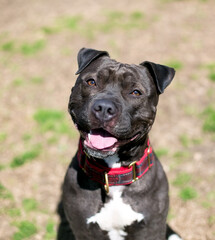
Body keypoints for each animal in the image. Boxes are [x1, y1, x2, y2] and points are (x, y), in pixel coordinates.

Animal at [58, 47, 182, 240]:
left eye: (136, 92)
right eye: (91, 82)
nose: (104, 108)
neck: (114, 173)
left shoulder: (151, 228)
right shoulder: (83, 230)